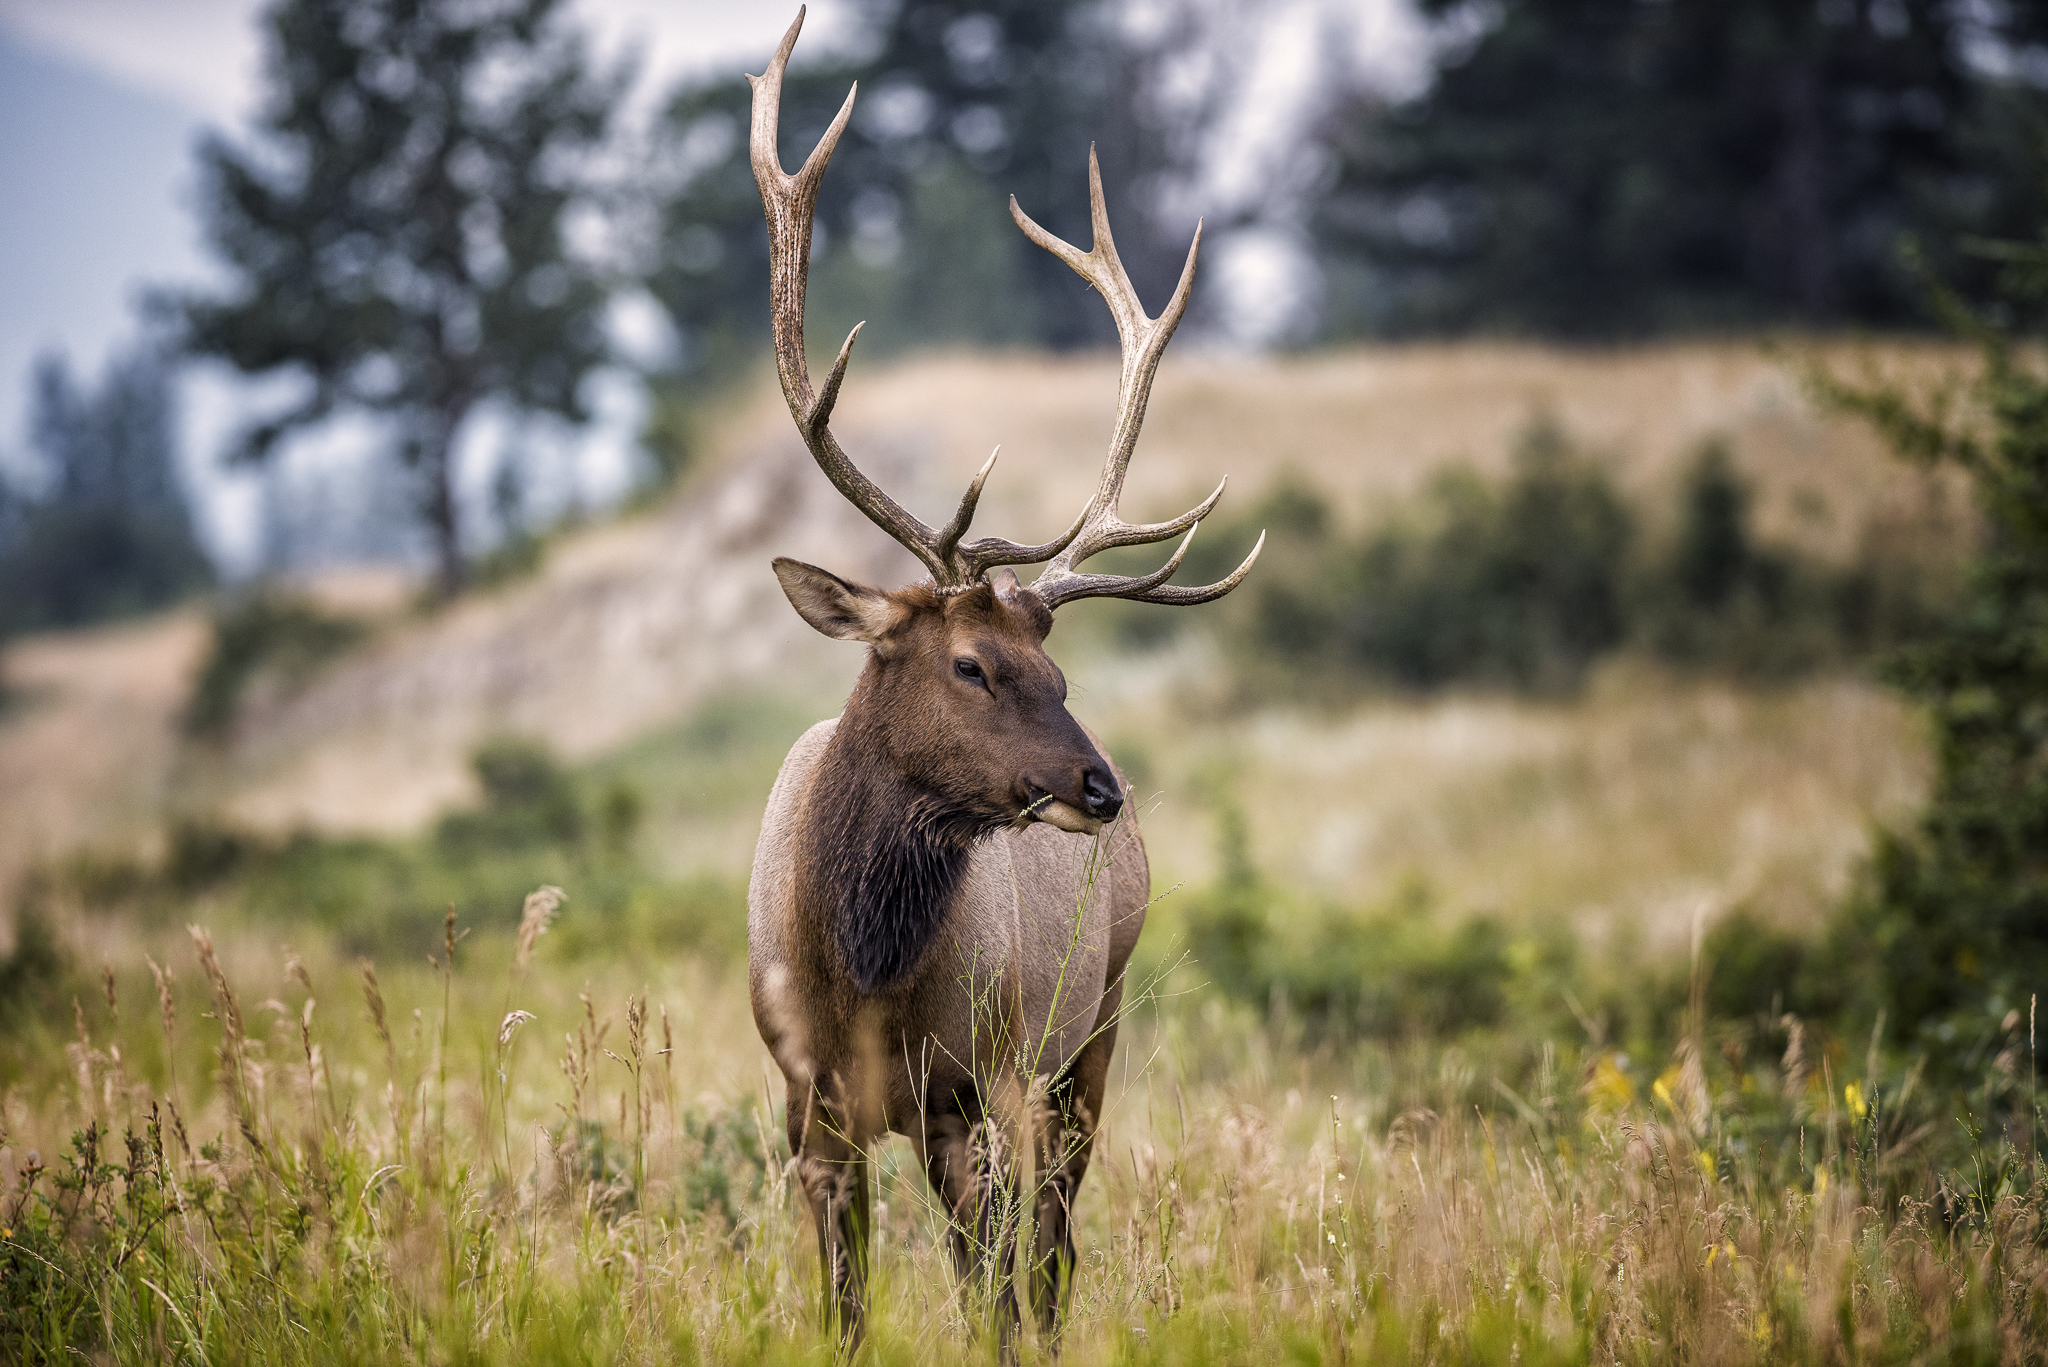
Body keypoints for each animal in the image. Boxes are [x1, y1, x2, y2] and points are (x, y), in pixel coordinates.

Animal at [744, 8, 1262, 1351]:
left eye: (1057, 665)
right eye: (970, 663)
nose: (1102, 787)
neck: (857, 976)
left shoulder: (965, 1091)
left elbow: (987, 1287)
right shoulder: (805, 1106)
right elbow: (845, 1307)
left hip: (1092, 1029)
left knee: (1052, 1245)